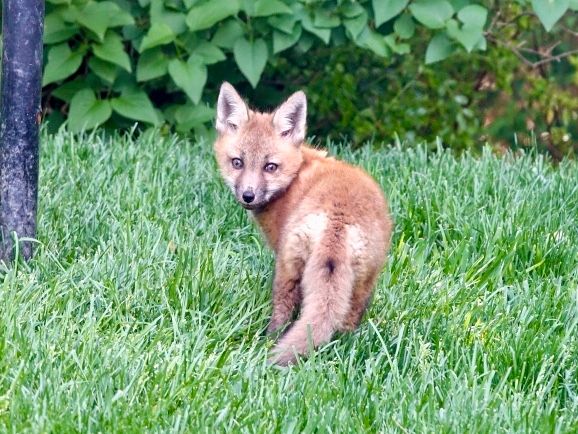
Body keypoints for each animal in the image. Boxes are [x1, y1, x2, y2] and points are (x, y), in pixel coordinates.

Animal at [214, 82, 394, 366]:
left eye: (270, 166)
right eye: (237, 163)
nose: (248, 196)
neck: (296, 175)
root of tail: (338, 219)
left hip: (288, 269)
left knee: (283, 314)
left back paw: (269, 341)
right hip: (364, 281)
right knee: (347, 321)